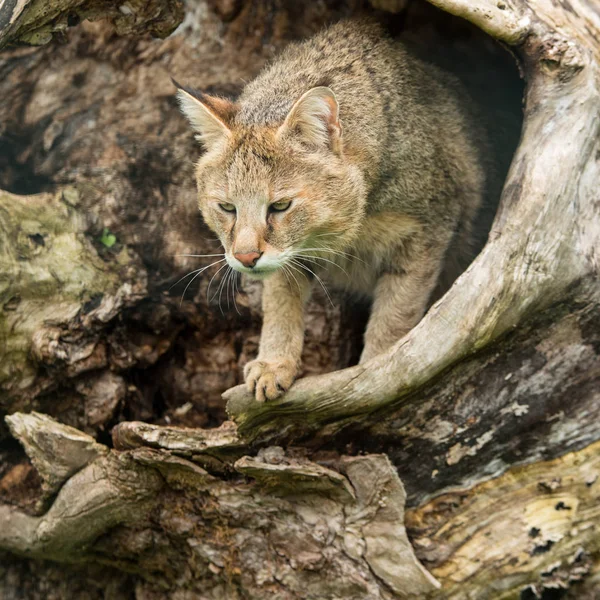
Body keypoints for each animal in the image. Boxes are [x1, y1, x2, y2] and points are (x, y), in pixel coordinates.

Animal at [176, 18, 490, 404]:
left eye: (280, 206)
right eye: (226, 208)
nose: (246, 257)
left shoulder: (427, 231)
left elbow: (396, 313)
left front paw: (376, 369)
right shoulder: (290, 255)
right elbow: (280, 298)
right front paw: (274, 363)